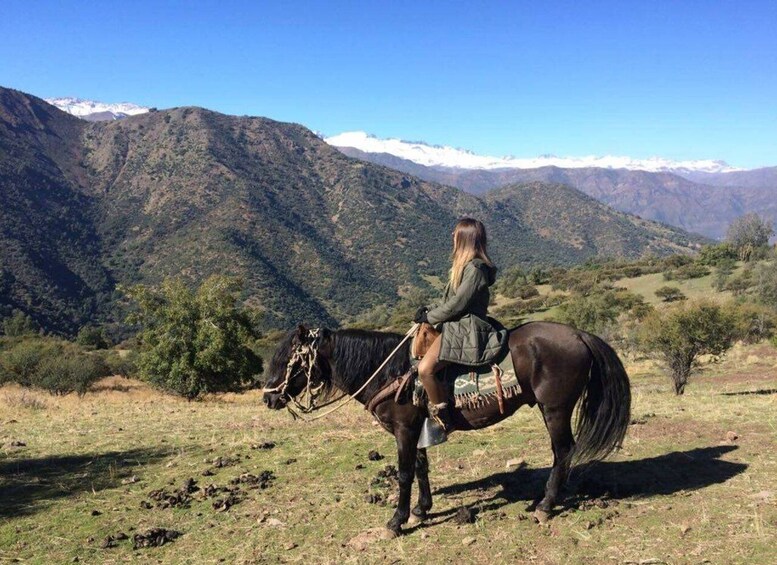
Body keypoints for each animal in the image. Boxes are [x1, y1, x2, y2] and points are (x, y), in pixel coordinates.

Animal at [264, 322, 628, 532]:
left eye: (287, 361)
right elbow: (421, 467)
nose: (269, 398)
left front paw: (397, 521)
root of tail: (579, 334)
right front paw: (421, 510)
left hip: (554, 408)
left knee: (562, 450)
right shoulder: (416, 428)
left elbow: (405, 473)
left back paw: (545, 506)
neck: (388, 372)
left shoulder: (404, 429)